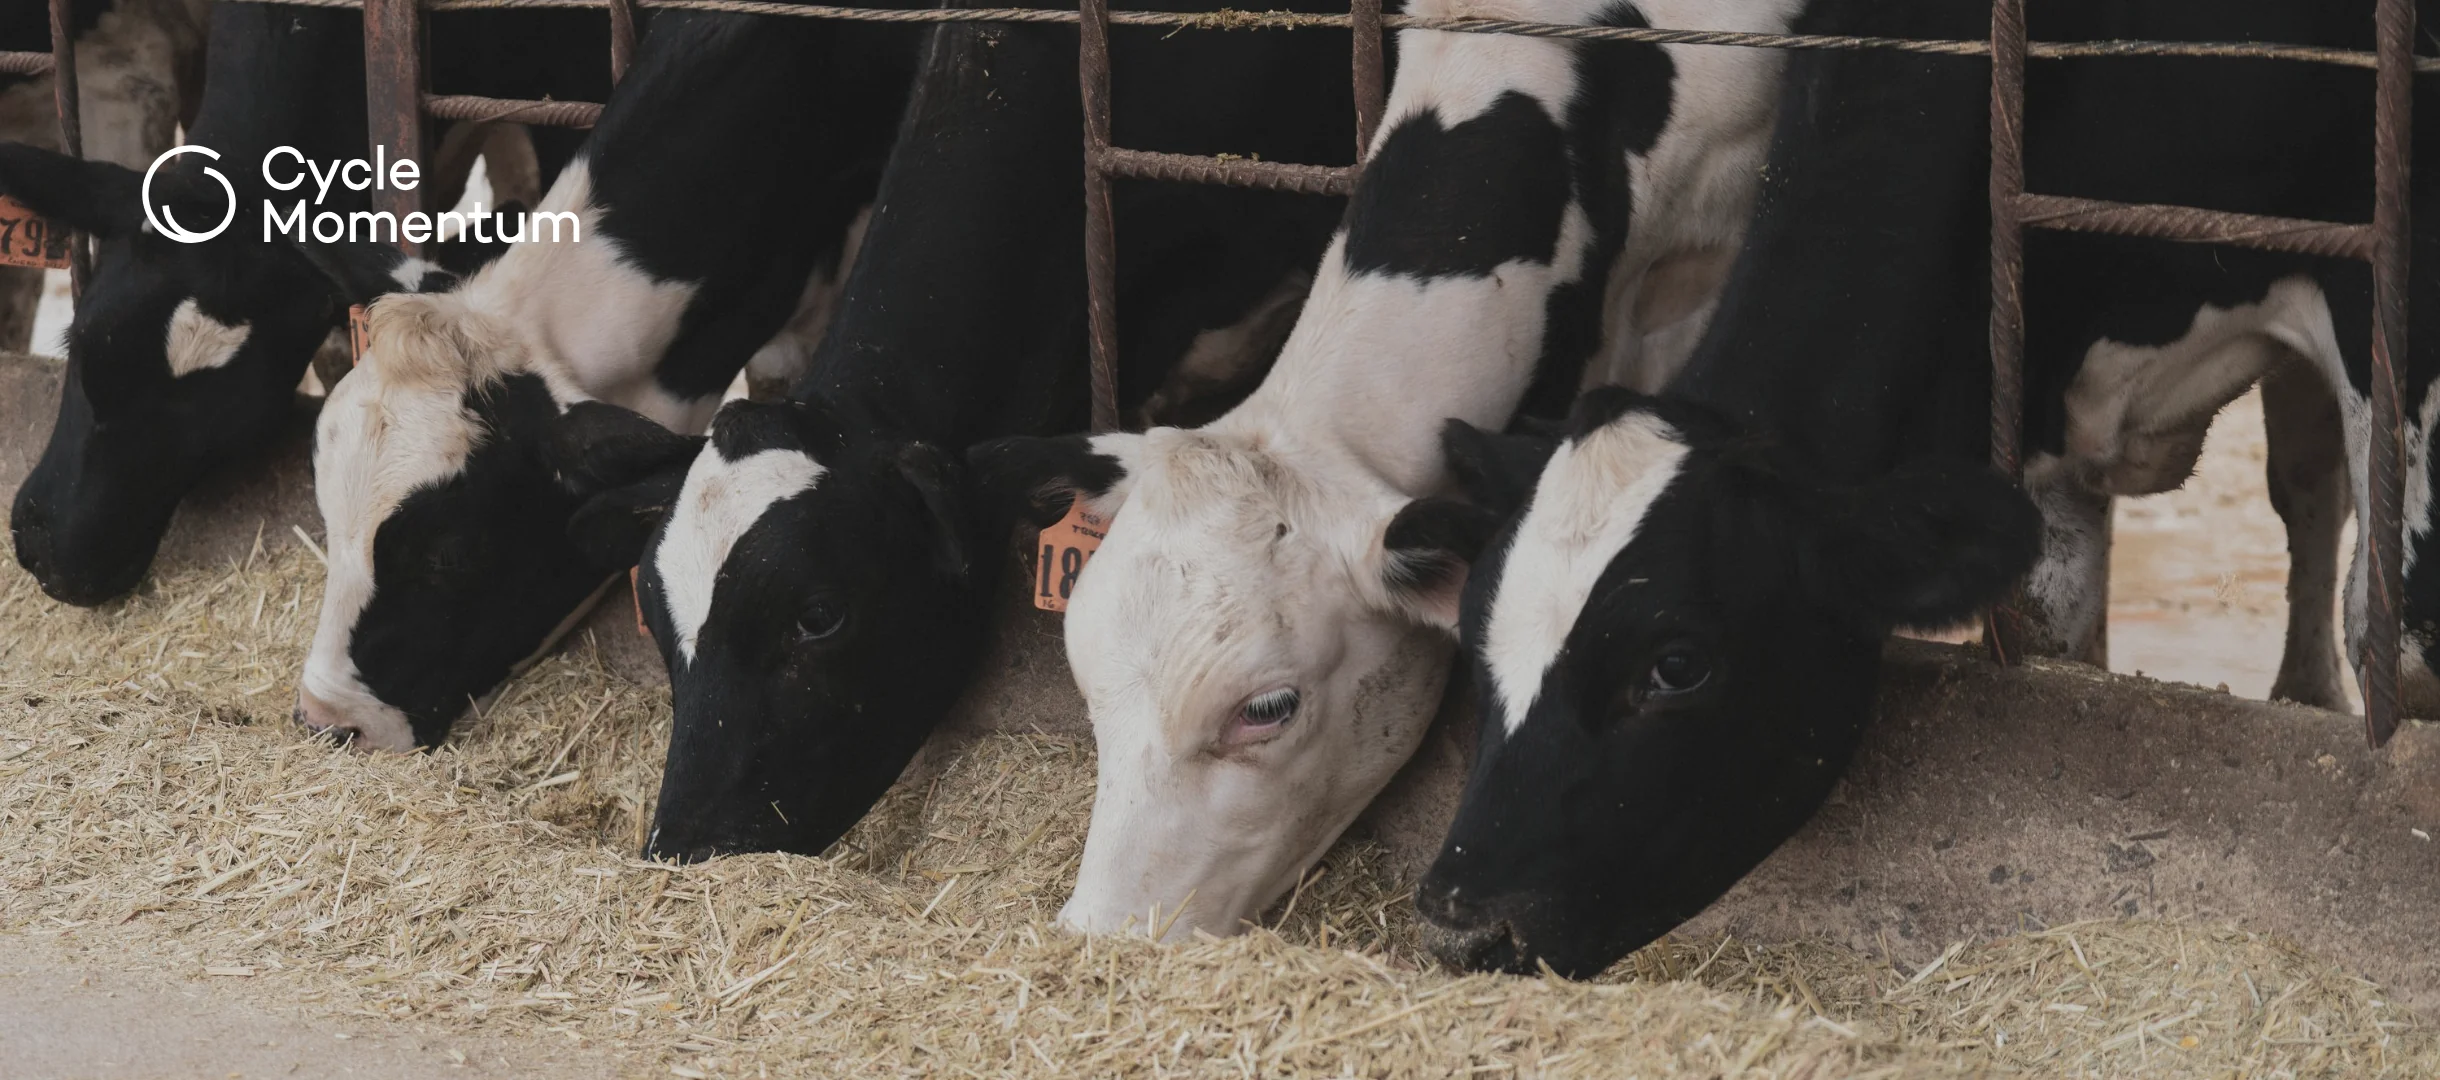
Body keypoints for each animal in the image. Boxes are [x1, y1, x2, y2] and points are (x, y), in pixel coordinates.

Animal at [1413, 0, 2432, 978]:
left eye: (1677, 665)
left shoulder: (2377, 279)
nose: (1461, 927)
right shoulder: (2031, 367)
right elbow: (2054, 631)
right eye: (1474, 636)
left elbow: (2388, 627)